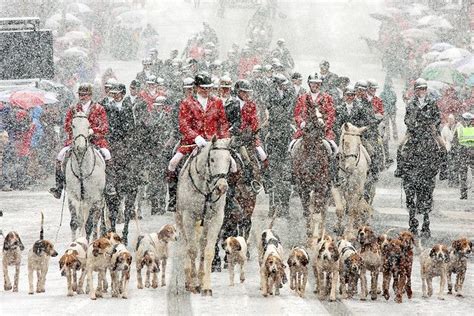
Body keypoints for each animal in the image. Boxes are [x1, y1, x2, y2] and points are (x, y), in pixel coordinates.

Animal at [65, 112, 106, 241]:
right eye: (73, 125)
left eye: (88, 126)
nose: (81, 147)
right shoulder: (73, 197)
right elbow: (75, 223)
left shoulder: (94, 198)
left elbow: (89, 225)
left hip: (98, 201)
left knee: (95, 221)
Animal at [176, 136, 231, 296]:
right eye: (212, 159)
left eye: (228, 159)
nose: (222, 187)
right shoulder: (188, 217)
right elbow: (192, 250)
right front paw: (194, 284)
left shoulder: (215, 219)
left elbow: (207, 251)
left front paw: (206, 286)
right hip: (180, 220)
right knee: (186, 244)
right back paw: (189, 280)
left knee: (201, 244)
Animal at [290, 110, 332, 238]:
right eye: (310, 112)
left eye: (322, 111)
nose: (322, 125)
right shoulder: (302, 187)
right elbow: (307, 211)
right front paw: (309, 231)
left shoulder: (320, 186)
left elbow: (317, 212)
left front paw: (316, 234)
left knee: (323, 210)